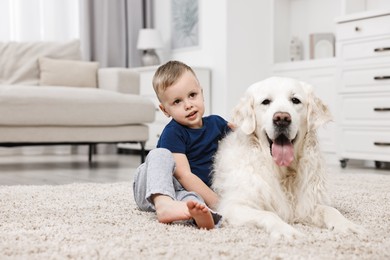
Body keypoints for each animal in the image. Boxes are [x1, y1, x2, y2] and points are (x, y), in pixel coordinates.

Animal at [213, 76, 362, 239]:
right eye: (266, 101)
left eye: (295, 100)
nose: (282, 118)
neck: (284, 173)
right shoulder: (234, 206)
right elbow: (269, 214)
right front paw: (287, 231)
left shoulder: (307, 206)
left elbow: (329, 210)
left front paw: (346, 225)